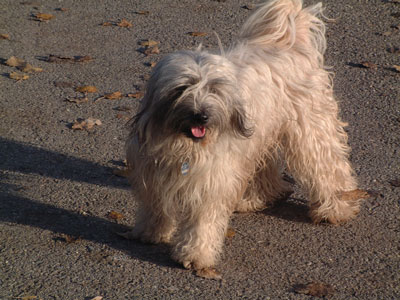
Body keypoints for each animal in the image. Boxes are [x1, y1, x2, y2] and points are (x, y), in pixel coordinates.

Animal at [124, 0, 360, 270]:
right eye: (183, 87)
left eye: (214, 89)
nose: (201, 116)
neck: (185, 145)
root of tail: (290, 42)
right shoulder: (152, 170)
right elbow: (156, 204)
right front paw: (151, 231)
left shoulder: (213, 178)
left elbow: (203, 219)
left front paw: (196, 254)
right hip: (261, 135)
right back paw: (257, 198)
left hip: (311, 131)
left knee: (327, 166)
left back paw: (336, 208)